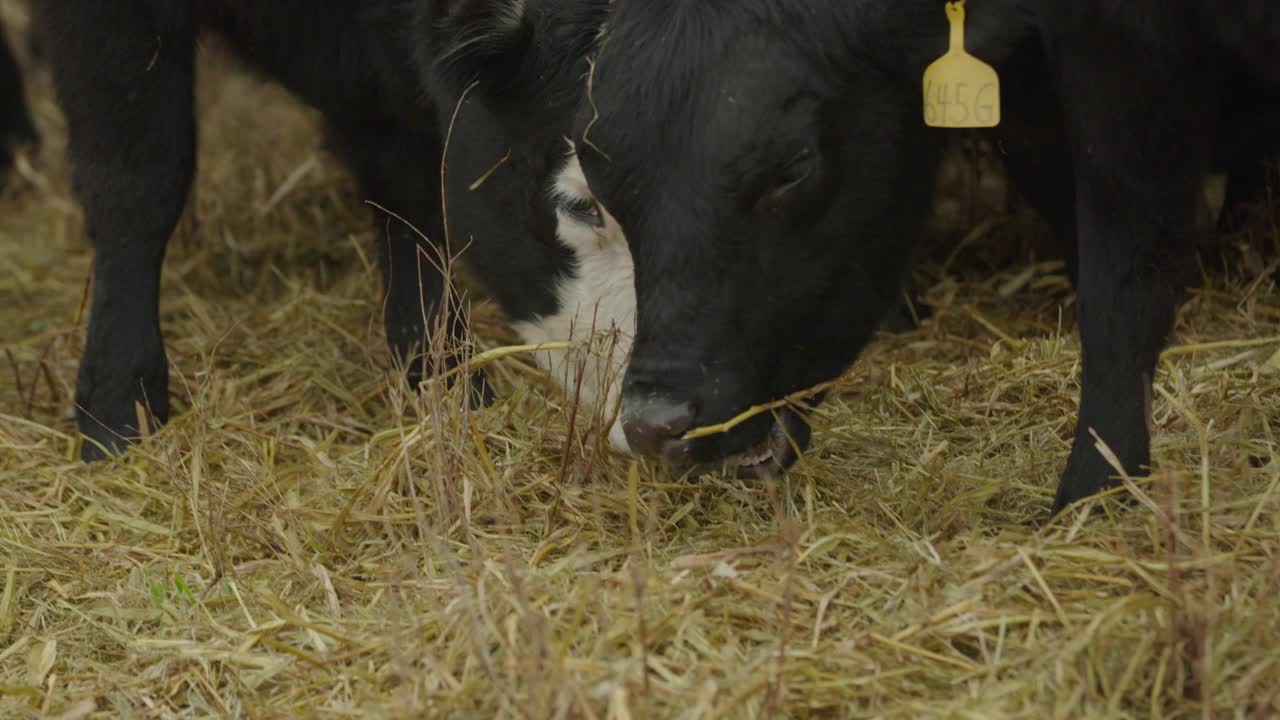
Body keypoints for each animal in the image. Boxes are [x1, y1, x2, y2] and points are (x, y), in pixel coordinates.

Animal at [36, 0, 640, 456]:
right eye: (580, 203)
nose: (651, 419)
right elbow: (136, 183)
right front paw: (119, 404)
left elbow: (406, 191)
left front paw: (441, 371)